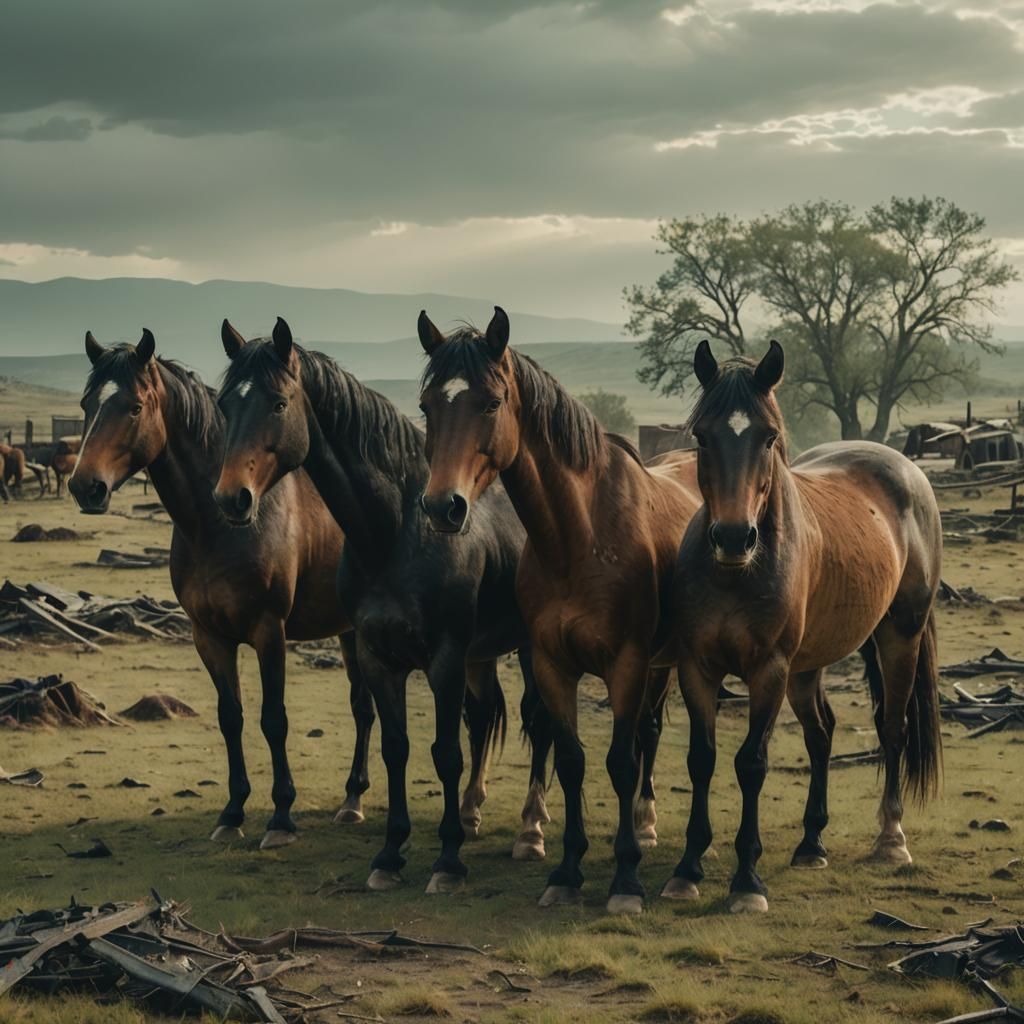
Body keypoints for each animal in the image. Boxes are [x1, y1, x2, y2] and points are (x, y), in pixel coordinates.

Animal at [68, 328, 378, 849]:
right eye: (88, 404)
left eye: (133, 407)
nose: (84, 487)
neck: (216, 526)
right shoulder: (208, 635)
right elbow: (230, 717)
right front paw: (232, 812)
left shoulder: (269, 632)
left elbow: (274, 719)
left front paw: (280, 817)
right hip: (346, 628)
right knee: (362, 704)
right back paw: (352, 797)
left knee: (366, 704)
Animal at [213, 317, 565, 894]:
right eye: (224, 404)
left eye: (279, 403)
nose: (229, 499)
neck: (396, 535)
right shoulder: (379, 657)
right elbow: (396, 746)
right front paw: (391, 853)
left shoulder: (444, 658)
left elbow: (445, 753)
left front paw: (447, 861)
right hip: (483, 654)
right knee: (484, 716)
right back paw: (471, 811)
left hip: (531, 649)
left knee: (538, 721)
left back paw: (530, 829)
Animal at [417, 307, 701, 915]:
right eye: (428, 405)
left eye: (490, 403)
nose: (442, 506)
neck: (581, 536)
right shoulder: (550, 663)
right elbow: (570, 760)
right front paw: (567, 871)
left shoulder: (626, 664)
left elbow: (620, 762)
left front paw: (625, 879)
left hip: (664, 666)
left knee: (649, 736)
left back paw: (646, 826)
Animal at [665, 339, 942, 913]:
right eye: (702, 436)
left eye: (768, 436)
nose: (733, 537)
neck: (736, 574)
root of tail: (907, 468)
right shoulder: (697, 669)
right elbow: (702, 759)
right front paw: (687, 867)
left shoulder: (768, 671)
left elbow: (751, 763)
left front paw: (747, 881)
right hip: (808, 666)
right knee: (822, 732)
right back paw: (812, 842)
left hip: (898, 636)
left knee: (893, 728)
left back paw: (891, 840)